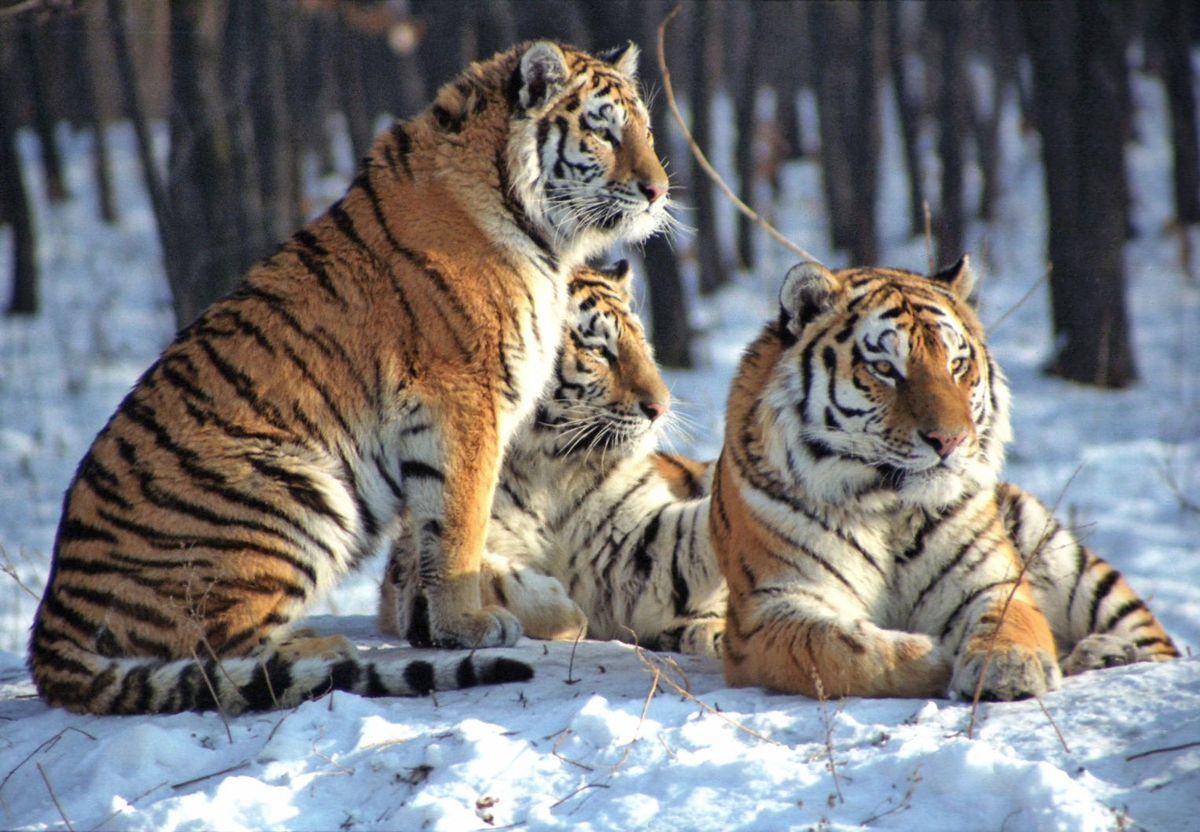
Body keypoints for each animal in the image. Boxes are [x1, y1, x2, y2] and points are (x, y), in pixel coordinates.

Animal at [28, 40, 672, 715]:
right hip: (293, 491)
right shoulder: (467, 399)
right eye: (604, 131)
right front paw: (471, 625)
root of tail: (51, 625)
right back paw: (321, 646)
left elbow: (433, 531)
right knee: (210, 649)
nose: (659, 190)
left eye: (646, 131)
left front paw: (442, 625)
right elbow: (461, 524)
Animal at [379, 259, 724, 657]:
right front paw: (563, 607)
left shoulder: (636, 548)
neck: (550, 469)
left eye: (641, 342)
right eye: (599, 351)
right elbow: (478, 573)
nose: (661, 408)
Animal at [710, 259, 1180, 701]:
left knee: (1159, 645)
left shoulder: (993, 582)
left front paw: (1010, 668)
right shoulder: (772, 606)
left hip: (1065, 555)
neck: (889, 509)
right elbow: (839, 649)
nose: (950, 440)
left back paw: (1109, 651)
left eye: (956, 364)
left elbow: (1007, 624)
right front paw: (937, 658)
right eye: (884, 368)